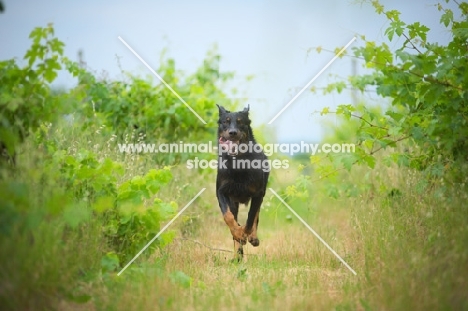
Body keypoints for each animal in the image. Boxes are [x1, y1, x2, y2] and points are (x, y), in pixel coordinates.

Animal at [215, 105, 266, 258]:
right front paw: (238, 234)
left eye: (240, 122)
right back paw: (237, 254)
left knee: (256, 215)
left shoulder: (258, 193)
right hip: (234, 201)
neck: (238, 162)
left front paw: (246, 233)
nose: (232, 133)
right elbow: (228, 217)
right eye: (225, 122)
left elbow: (251, 218)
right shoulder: (221, 192)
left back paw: (253, 237)